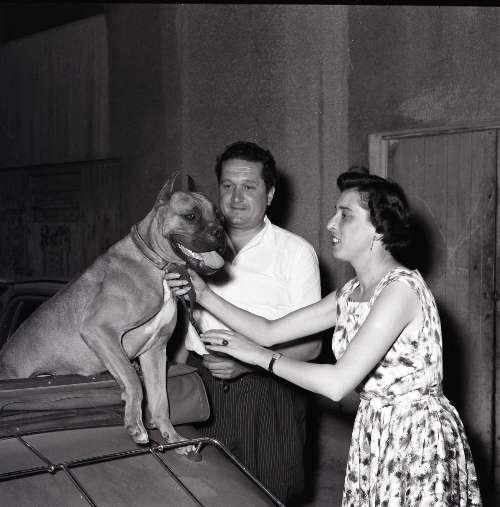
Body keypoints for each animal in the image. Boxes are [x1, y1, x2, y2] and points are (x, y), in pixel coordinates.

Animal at [0, 174, 226, 448]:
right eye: (191, 216)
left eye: (219, 216)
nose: (220, 232)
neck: (157, 265)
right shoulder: (100, 331)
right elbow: (133, 380)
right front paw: (136, 426)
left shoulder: (155, 351)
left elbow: (161, 400)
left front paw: (173, 439)